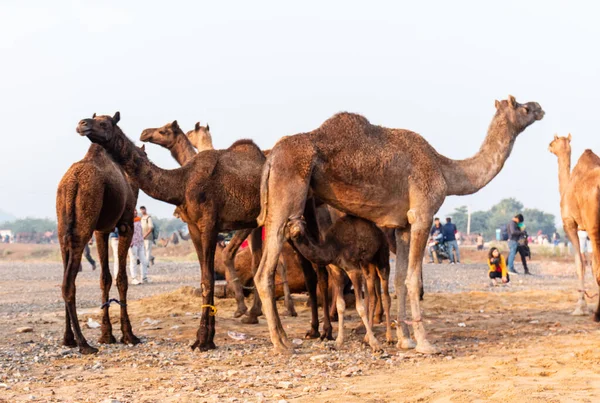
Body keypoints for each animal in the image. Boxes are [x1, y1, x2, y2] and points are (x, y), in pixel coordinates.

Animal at [56, 141, 139, 354]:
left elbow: (105, 278)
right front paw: (129, 335)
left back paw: (68, 339)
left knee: (65, 274)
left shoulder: (102, 230)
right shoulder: (126, 225)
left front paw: (107, 335)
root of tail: (72, 183)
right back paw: (84, 344)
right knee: (69, 282)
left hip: (62, 226)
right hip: (85, 218)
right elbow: (121, 279)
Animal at [76, 113, 332, 350]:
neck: (182, 183)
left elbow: (208, 279)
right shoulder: (194, 228)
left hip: (301, 211)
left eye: (104, 123)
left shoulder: (209, 224)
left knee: (319, 268)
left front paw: (202, 340)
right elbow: (203, 279)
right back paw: (312, 328)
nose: (82, 124)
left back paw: (325, 331)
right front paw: (207, 337)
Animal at [288, 216, 392, 352]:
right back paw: (366, 338)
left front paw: (376, 345)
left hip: (382, 256)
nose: (297, 230)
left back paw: (389, 338)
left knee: (386, 295)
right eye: (289, 224)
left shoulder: (353, 269)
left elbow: (360, 307)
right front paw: (338, 342)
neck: (333, 248)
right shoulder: (336, 270)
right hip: (367, 263)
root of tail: (380, 230)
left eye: (303, 223)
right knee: (372, 295)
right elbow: (340, 305)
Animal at [548, 135, 600, 318]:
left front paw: (580, 308)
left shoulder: (569, 223)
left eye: (553, 141)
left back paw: (597, 313)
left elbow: (580, 264)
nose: (549, 146)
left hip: (594, 227)